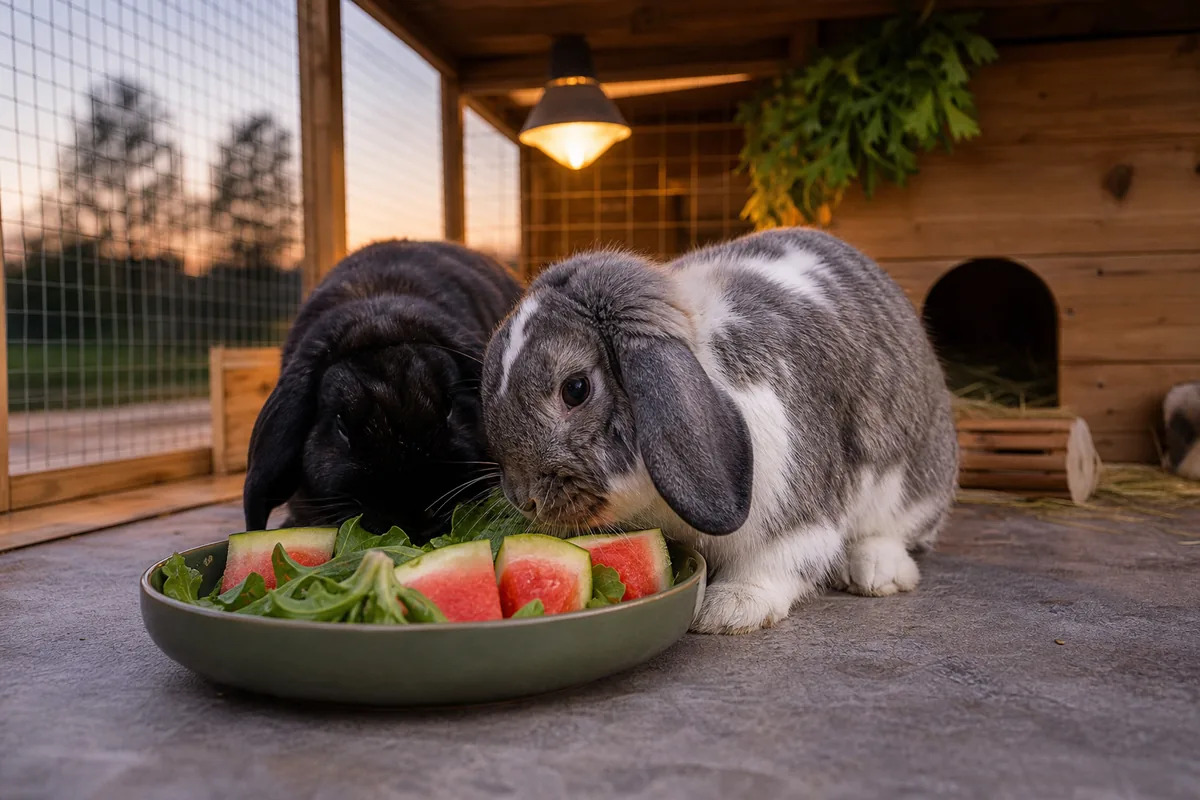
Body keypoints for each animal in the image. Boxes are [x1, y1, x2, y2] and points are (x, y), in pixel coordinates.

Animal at [479, 227, 959, 635]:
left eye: (576, 389)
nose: (524, 497)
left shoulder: (797, 512)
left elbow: (781, 561)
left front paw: (728, 611)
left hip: (916, 482)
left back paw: (876, 572)